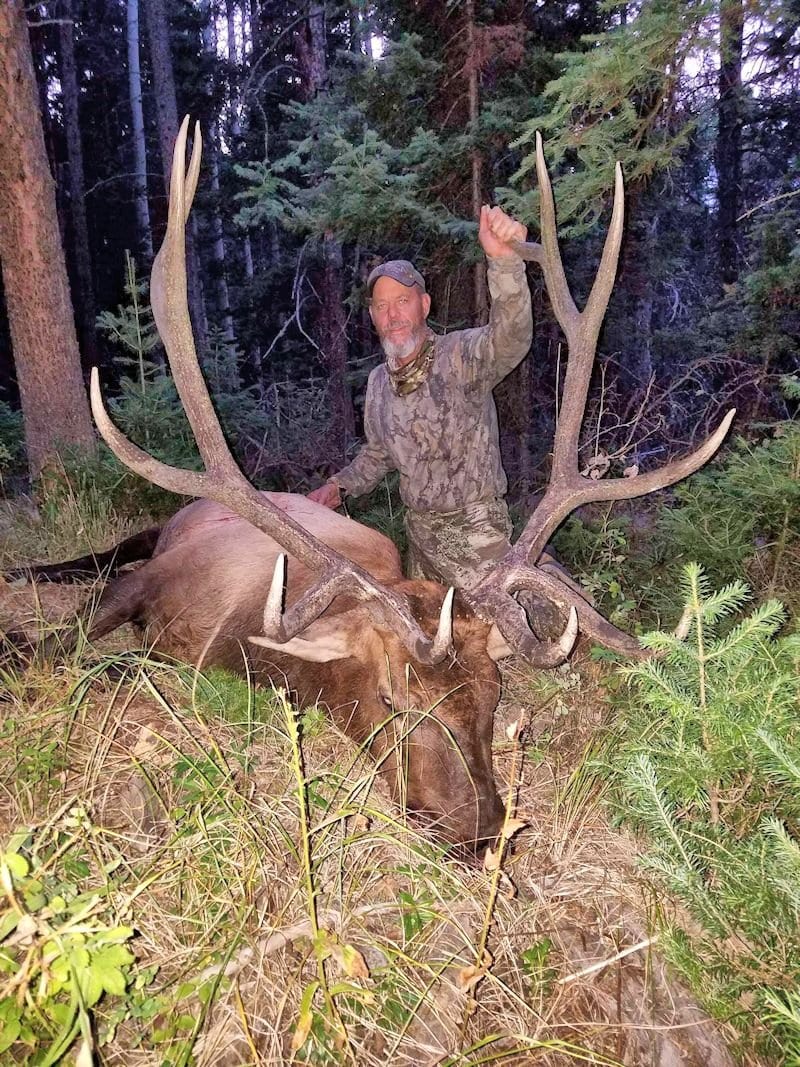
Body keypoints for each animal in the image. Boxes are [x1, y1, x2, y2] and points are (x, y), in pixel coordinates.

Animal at [4, 118, 734, 852]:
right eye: (394, 701)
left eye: (494, 696)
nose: (481, 832)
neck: (241, 643)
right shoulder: (154, 582)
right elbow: (70, 642)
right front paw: (23, 647)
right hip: (165, 527)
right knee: (104, 553)